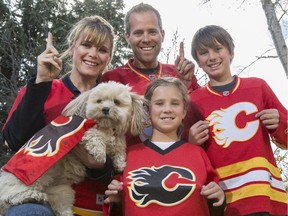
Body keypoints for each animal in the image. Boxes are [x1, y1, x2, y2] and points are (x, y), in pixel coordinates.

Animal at [0, 81, 148, 216]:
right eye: (99, 101)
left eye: (116, 102)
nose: (105, 109)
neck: (107, 127)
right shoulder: (85, 135)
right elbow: (95, 136)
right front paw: (100, 154)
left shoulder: (117, 140)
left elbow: (119, 148)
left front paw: (120, 163)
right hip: (26, 177)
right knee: (9, 195)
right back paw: (32, 195)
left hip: (63, 191)